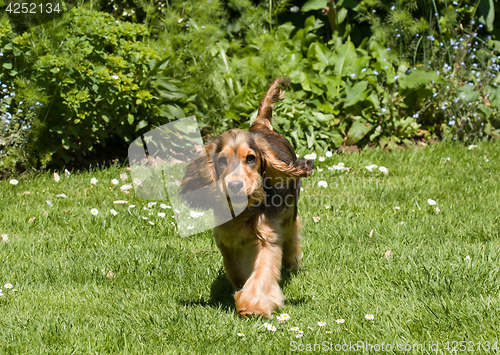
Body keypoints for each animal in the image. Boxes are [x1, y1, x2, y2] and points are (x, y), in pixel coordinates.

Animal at [179, 79, 312, 318]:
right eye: (222, 161)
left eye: (250, 158)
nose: (235, 185)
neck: (243, 210)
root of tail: (260, 125)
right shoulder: (225, 239)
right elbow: (235, 270)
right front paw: (242, 287)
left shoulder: (267, 236)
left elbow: (261, 272)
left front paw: (252, 304)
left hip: (289, 211)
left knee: (292, 230)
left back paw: (293, 261)